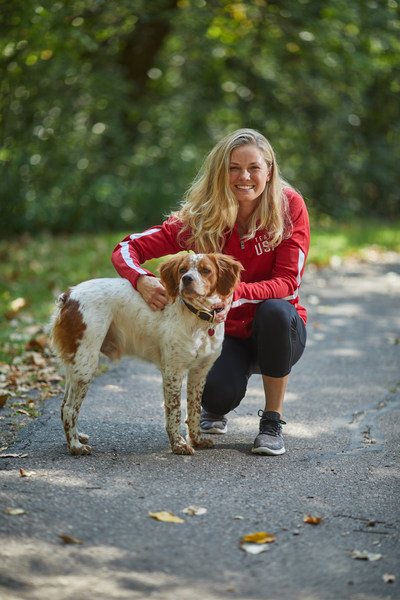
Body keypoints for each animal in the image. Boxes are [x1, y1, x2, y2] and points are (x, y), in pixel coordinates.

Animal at [51, 252, 242, 454]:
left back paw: (77, 437)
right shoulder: (173, 372)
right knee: (69, 408)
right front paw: (179, 444)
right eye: (182, 270)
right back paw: (76, 447)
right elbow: (175, 411)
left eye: (205, 270)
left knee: (64, 405)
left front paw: (196, 440)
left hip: (77, 365)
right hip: (85, 364)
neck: (199, 319)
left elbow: (194, 410)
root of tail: (69, 295)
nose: (186, 279)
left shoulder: (199, 373)